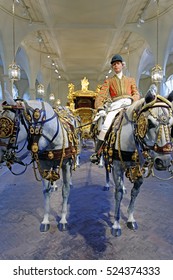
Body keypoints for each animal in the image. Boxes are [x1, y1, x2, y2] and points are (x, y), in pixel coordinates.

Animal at [0, 94, 77, 232]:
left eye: (5, 125)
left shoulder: (66, 164)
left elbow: (65, 190)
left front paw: (63, 219)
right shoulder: (45, 164)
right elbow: (45, 192)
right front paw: (45, 220)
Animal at [109, 92, 173, 236]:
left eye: (171, 124)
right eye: (149, 122)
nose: (164, 161)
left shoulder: (139, 169)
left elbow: (135, 192)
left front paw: (130, 219)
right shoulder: (117, 167)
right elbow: (118, 193)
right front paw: (116, 224)